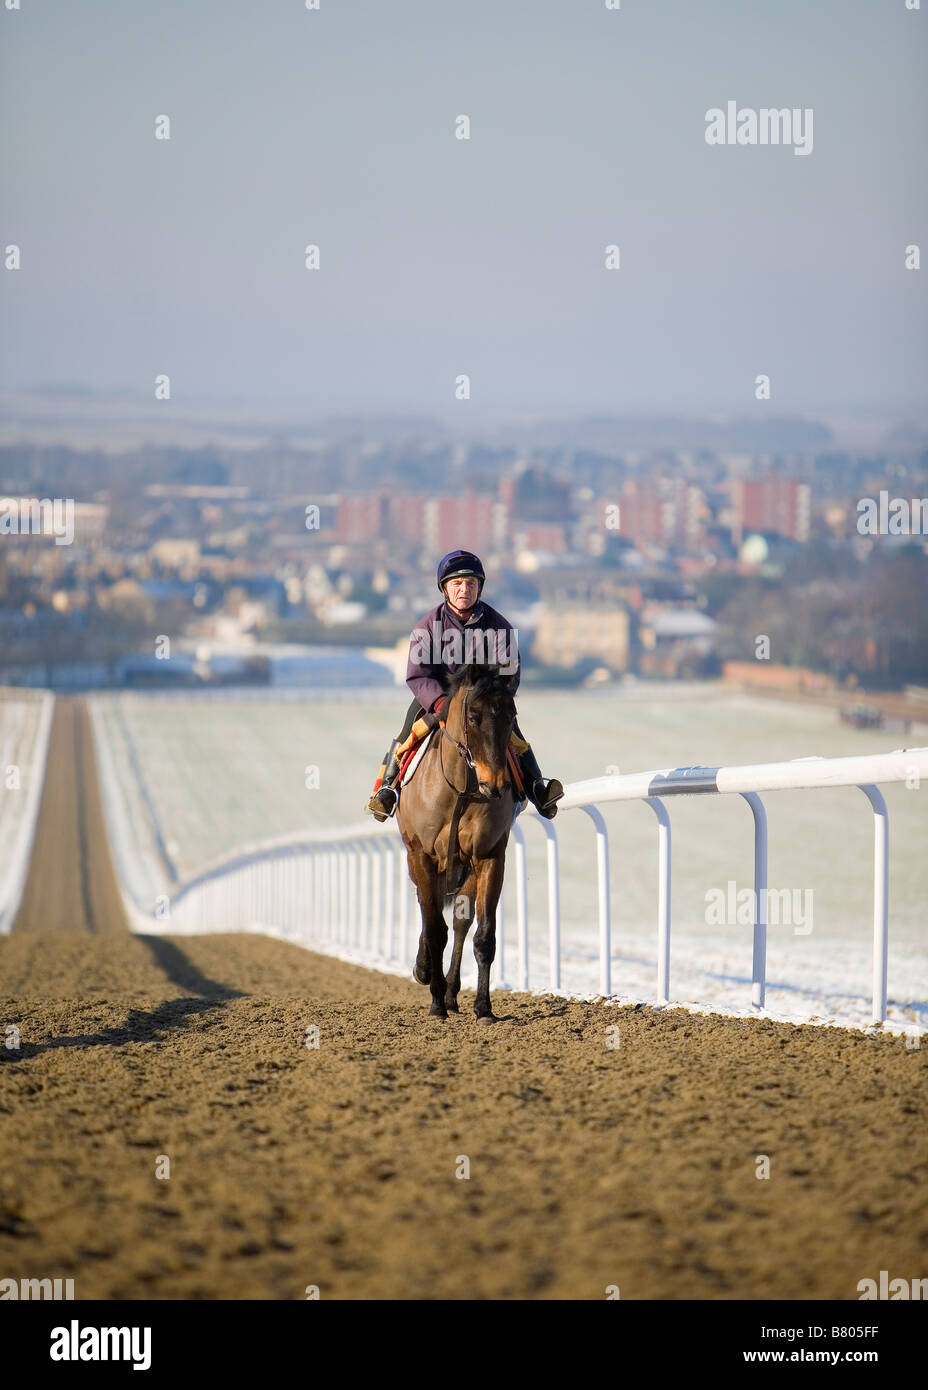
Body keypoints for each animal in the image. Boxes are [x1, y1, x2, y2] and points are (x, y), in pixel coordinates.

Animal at [394, 661, 519, 1023]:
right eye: (474, 717)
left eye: (511, 715)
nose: (496, 785)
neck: (461, 789)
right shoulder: (422, 855)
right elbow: (435, 930)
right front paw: (435, 1001)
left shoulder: (489, 856)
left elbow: (484, 935)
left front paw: (484, 1007)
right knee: (431, 913)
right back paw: (428, 975)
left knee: (461, 922)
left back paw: (451, 992)